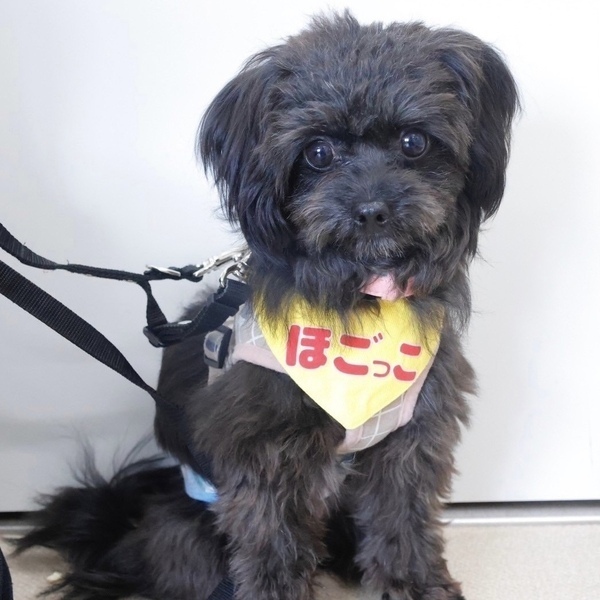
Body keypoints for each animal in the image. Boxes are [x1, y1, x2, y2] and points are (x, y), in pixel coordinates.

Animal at [17, 12, 518, 600]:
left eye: (414, 142)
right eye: (318, 152)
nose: (373, 210)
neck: (358, 295)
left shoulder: (411, 439)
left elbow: (404, 523)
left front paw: (415, 585)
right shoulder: (266, 452)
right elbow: (272, 545)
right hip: (191, 533)